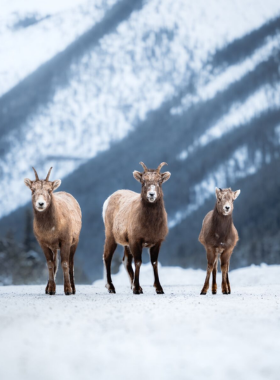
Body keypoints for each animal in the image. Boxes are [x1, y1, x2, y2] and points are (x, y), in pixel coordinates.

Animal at [24, 168, 81, 296]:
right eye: (33, 190)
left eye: (49, 190)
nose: (41, 204)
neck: (51, 229)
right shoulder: (44, 244)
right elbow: (50, 265)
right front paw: (50, 290)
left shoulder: (66, 241)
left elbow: (65, 264)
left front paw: (68, 290)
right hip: (54, 247)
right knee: (55, 263)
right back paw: (47, 288)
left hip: (74, 243)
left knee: (71, 263)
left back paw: (74, 289)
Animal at [102, 162, 171, 296]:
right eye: (143, 181)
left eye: (159, 181)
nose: (151, 194)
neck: (150, 225)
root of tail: (108, 200)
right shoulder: (135, 241)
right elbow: (138, 262)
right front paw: (137, 289)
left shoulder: (156, 242)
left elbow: (154, 263)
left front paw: (159, 289)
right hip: (111, 237)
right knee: (107, 257)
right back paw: (111, 288)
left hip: (126, 244)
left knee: (126, 262)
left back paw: (132, 285)